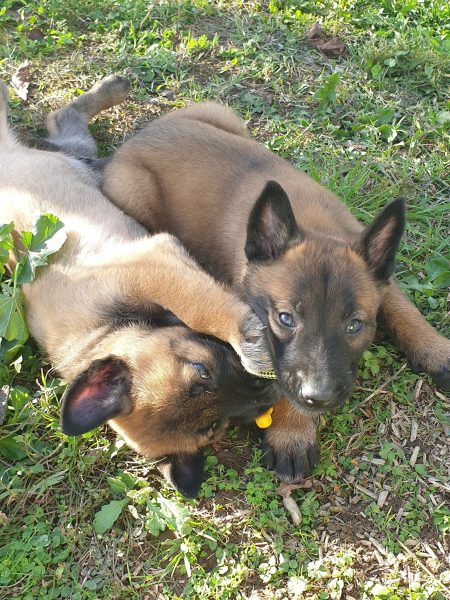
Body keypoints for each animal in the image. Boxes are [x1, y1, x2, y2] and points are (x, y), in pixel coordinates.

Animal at [0, 78, 274, 496]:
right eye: (217, 425)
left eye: (201, 370)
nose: (271, 393)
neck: (103, 331)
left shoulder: (150, 263)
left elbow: (199, 303)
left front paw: (250, 340)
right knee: (63, 119)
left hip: (74, 162)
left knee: (61, 118)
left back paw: (112, 87)